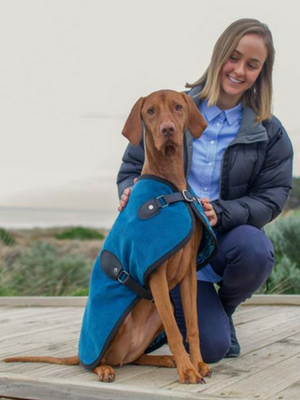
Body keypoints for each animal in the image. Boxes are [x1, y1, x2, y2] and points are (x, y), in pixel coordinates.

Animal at [4, 90, 211, 384]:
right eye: (150, 111)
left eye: (178, 107)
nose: (167, 129)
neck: (172, 187)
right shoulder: (156, 274)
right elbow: (174, 330)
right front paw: (187, 370)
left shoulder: (188, 275)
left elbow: (192, 326)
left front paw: (198, 363)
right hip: (123, 323)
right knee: (99, 360)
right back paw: (103, 368)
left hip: (158, 311)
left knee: (135, 357)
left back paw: (164, 359)